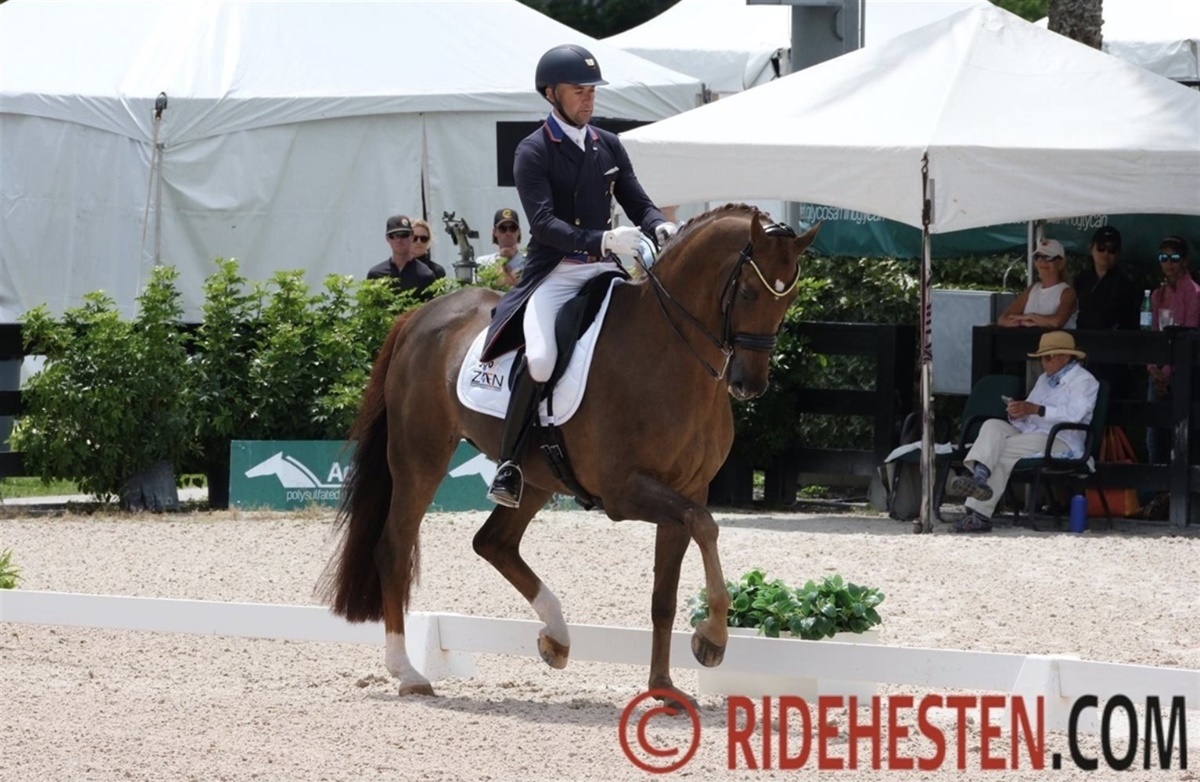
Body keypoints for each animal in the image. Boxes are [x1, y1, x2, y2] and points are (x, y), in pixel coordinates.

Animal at [321, 203, 819, 705]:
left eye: (790, 298)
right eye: (749, 292)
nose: (748, 384)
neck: (668, 354)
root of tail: (419, 314)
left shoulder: (687, 490)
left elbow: (667, 592)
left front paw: (663, 687)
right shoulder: (624, 492)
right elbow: (707, 526)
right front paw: (712, 638)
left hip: (536, 477)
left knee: (493, 542)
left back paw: (556, 637)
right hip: (419, 457)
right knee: (394, 548)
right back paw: (408, 673)